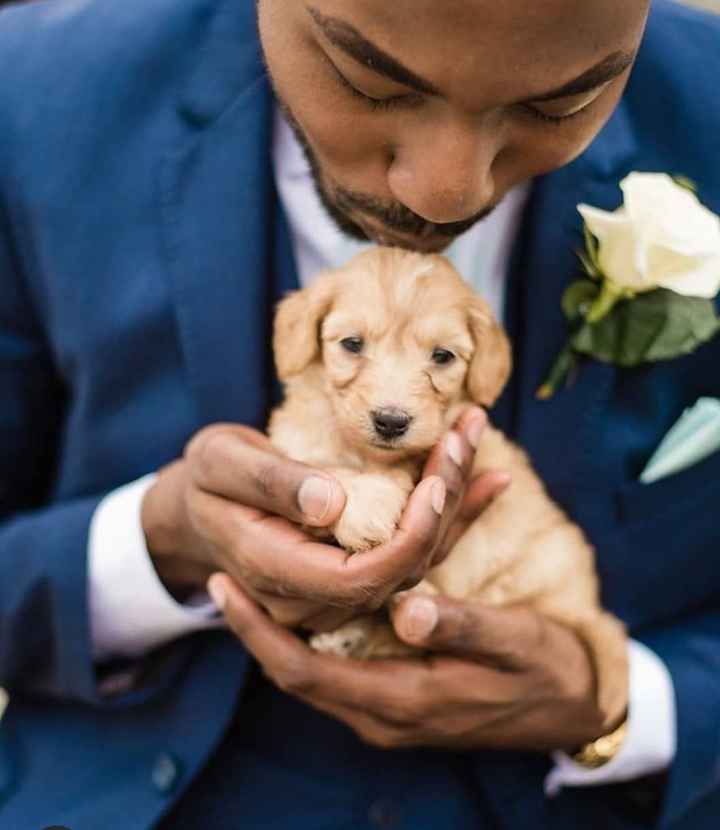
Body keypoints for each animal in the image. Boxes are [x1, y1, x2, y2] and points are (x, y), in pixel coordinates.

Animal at [268, 245, 628, 728]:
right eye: (352, 344)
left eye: (442, 356)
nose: (391, 421)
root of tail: (584, 605)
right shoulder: (295, 440)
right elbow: (322, 462)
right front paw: (363, 501)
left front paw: (370, 505)